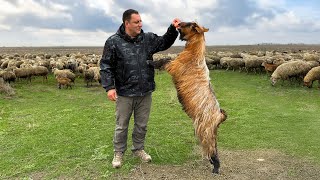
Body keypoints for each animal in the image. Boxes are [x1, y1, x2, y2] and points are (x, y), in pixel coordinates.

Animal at [165, 21, 228, 174]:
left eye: (189, 24)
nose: (178, 24)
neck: (195, 52)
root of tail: (220, 116)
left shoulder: (174, 66)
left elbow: (163, 62)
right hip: (211, 132)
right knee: (214, 149)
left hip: (205, 130)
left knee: (211, 149)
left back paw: (215, 168)